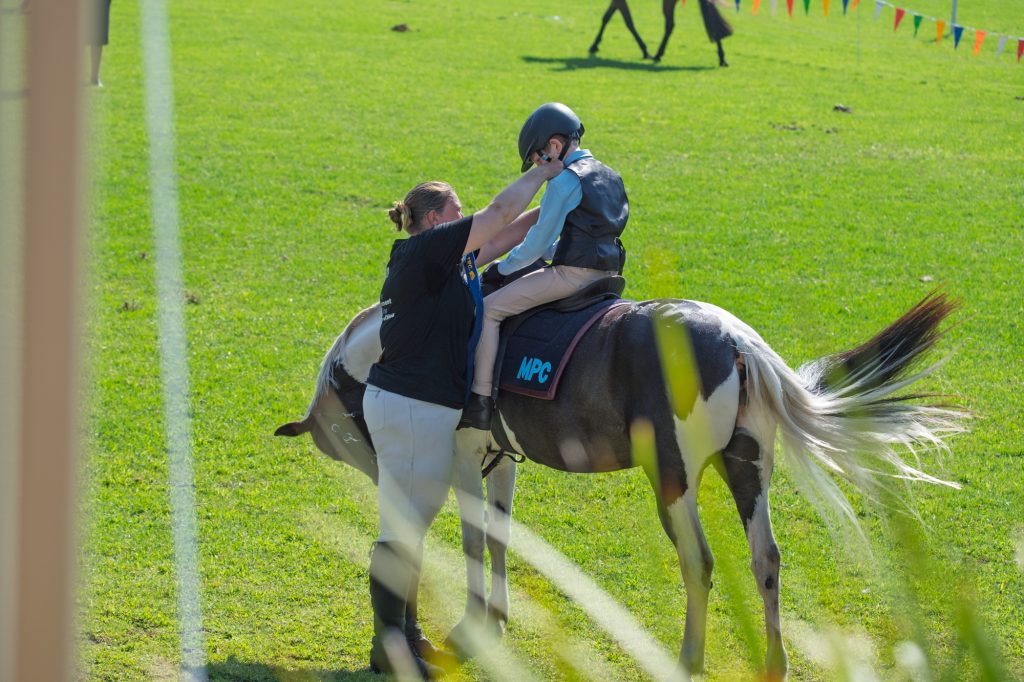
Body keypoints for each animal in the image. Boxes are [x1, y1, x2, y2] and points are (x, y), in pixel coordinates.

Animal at [276, 289, 964, 678]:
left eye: (347, 439)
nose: (382, 475)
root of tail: (737, 340)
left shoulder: (467, 457)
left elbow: (473, 540)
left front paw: (474, 625)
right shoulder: (500, 461)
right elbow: (499, 538)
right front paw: (496, 617)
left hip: (675, 483)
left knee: (700, 562)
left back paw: (688, 659)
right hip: (746, 470)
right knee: (766, 559)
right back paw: (773, 663)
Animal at [589, 0, 734, 66]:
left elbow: (628, 22)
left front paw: (645, 51)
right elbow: (608, 17)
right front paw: (595, 45)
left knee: (670, 25)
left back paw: (658, 54)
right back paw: (722, 57)